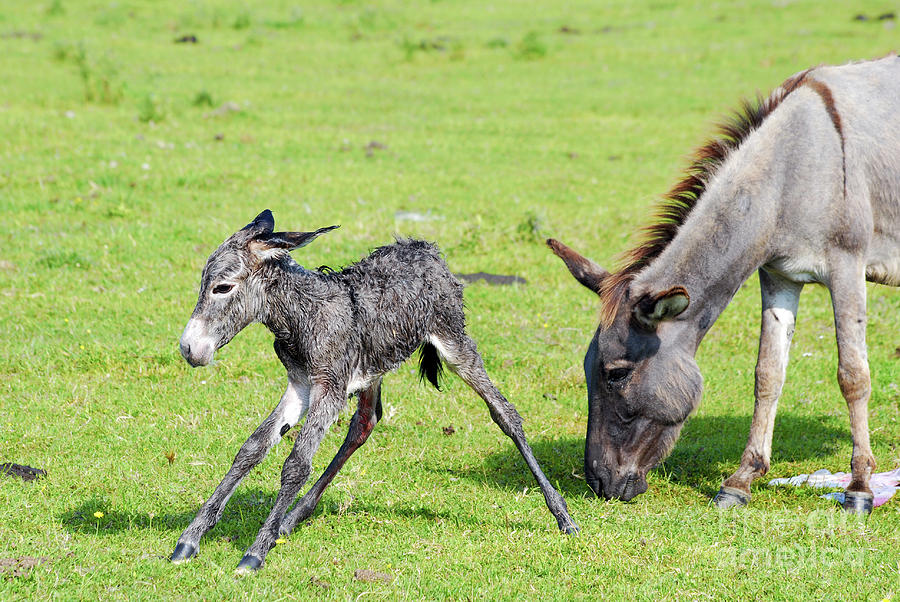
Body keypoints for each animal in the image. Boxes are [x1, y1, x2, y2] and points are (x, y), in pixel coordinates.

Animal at [171, 211, 576, 572]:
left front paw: (254, 552)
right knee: (365, 422)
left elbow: (296, 463)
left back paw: (564, 516)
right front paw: (189, 539)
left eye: (223, 287)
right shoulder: (301, 385)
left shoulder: (329, 388)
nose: (189, 349)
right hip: (373, 368)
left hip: (454, 340)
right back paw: (292, 518)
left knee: (505, 412)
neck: (302, 317)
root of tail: (424, 247)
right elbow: (252, 448)